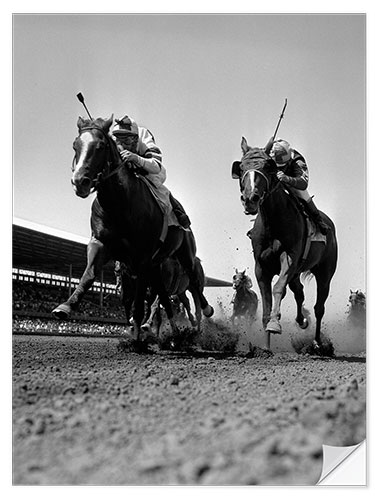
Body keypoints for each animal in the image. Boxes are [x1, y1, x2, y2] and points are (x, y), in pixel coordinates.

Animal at [52, 116, 214, 344]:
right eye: (75, 145)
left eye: (100, 146)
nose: (79, 182)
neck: (120, 204)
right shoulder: (102, 244)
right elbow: (89, 274)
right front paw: (65, 306)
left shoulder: (143, 257)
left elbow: (141, 302)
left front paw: (137, 333)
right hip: (156, 266)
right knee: (165, 298)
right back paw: (174, 333)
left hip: (185, 254)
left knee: (193, 283)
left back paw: (203, 313)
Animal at [232, 139, 338, 354]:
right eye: (242, 167)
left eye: (267, 166)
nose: (250, 199)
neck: (273, 223)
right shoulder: (261, 267)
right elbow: (266, 303)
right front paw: (265, 347)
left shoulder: (288, 259)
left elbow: (278, 288)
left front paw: (275, 324)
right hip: (298, 273)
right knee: (299, 291)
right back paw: (302, 320)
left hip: (325, 272)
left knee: (319, 307)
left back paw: (317, 342)